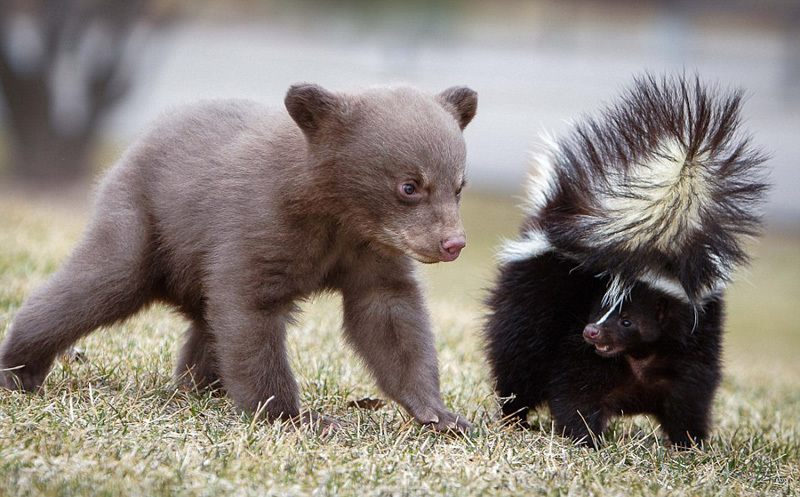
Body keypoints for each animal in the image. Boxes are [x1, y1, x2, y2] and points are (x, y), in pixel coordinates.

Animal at [0, 83, 478, 433]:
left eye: (459, 186)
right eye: (409, 186)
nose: (453, 243)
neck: (336, 218)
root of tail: (140, 141)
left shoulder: (372, 251)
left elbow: (389, 317)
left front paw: (440, 414)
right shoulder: (256, 224)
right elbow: (250, 312)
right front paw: (297, 417)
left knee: (208, 324)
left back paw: (203, 388)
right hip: (141, 219)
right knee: (97, 284)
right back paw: (18, 370)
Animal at [485, 254, 722, 448]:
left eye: (626, 321)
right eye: (598, 311)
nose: (591, 331)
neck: (638, 355)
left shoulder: (691, 357)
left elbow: (687, 404)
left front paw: (689, 443)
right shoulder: (578, 355)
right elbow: (577, 397)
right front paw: (587, 440)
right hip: (525, 324)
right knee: (517, 378)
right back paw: (515, 420)